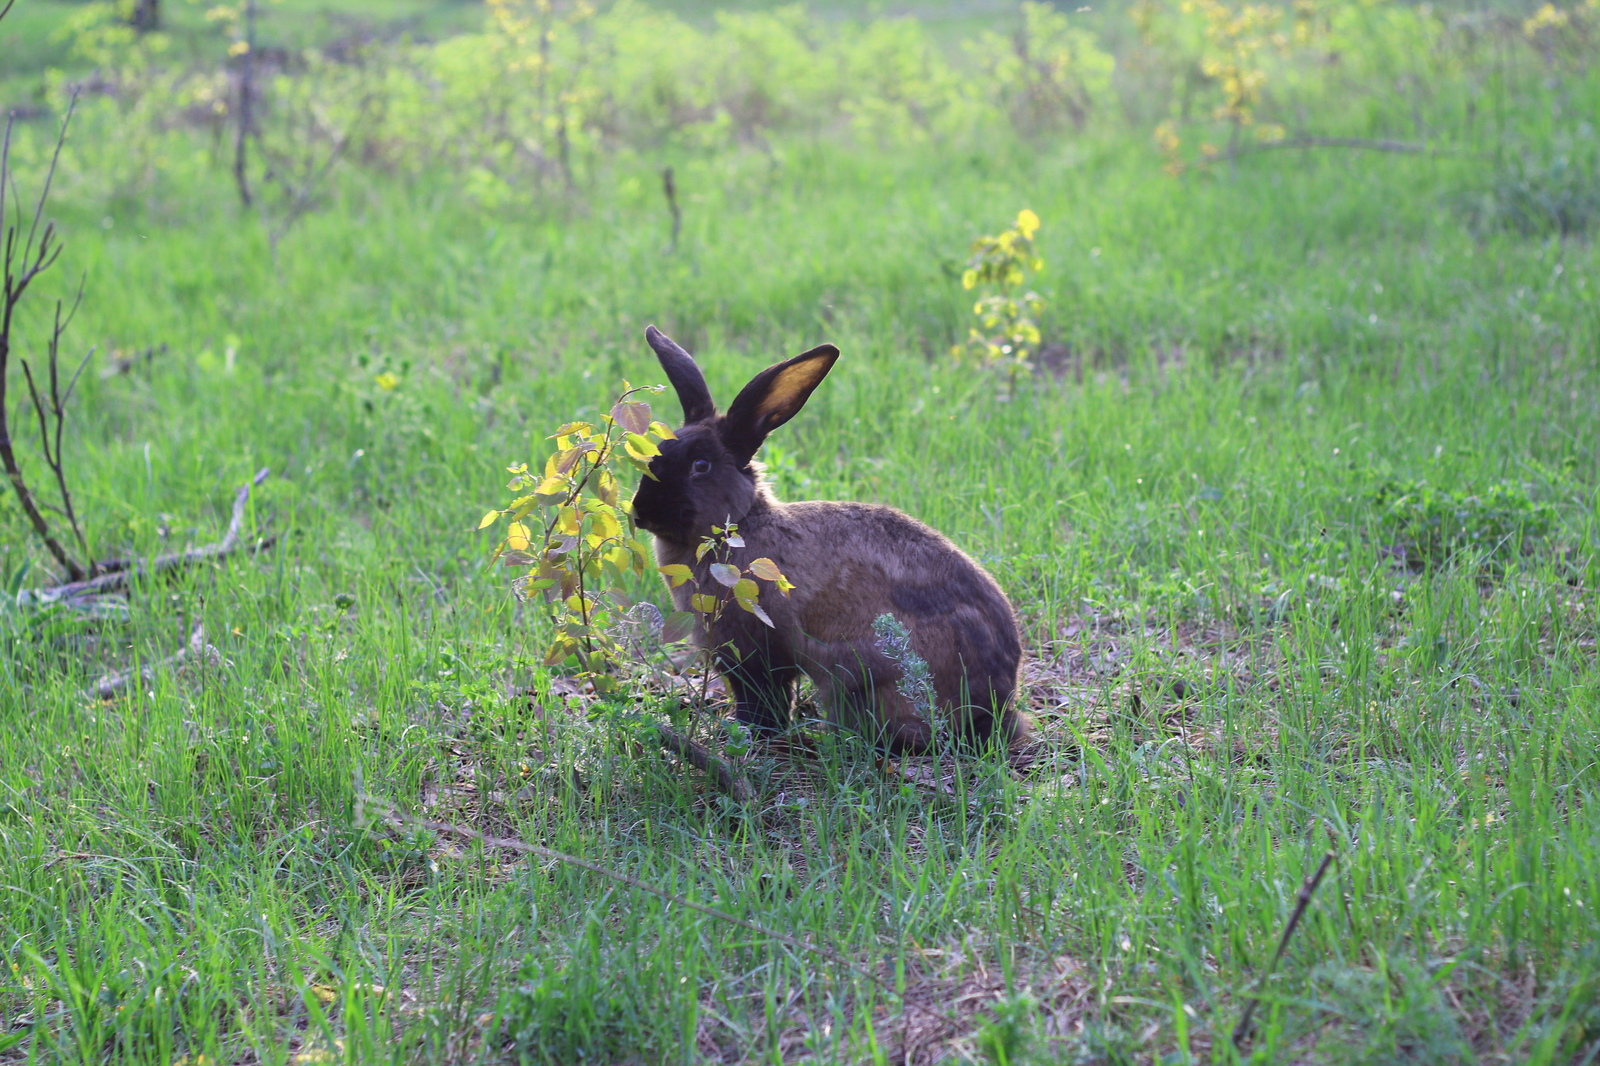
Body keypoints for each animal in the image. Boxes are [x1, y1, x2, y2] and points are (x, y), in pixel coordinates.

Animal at [630, 320, 1030, 752]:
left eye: (700, 466)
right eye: (657, 451)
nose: (640, 511)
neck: (739, 527)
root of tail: (995, 707)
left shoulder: (757, 652)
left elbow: (764, 699)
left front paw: (754, 736)